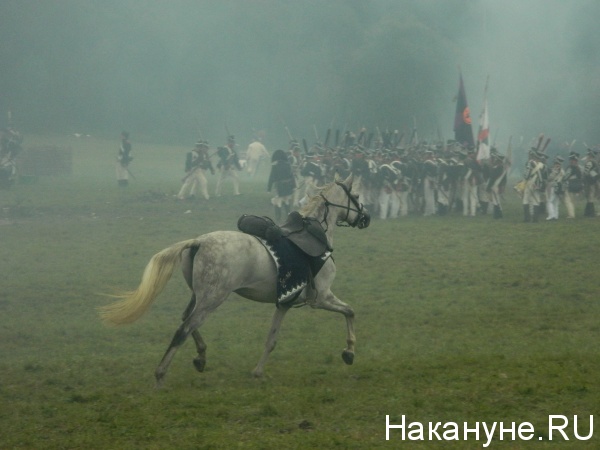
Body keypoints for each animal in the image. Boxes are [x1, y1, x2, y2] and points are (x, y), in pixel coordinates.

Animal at [97, 174, 370, 384]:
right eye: (357, 195)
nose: (366, 218)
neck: (316, 234)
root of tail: (197, 242)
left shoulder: (284, 303)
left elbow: (271, 339)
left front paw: (257, 372)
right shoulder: (321, 297)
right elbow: (350, 311)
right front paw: (349, 352)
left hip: (199, 296)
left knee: (186, 320)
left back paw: (201, 356)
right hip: (212, 299)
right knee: (184, 329)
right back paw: (161, 374)